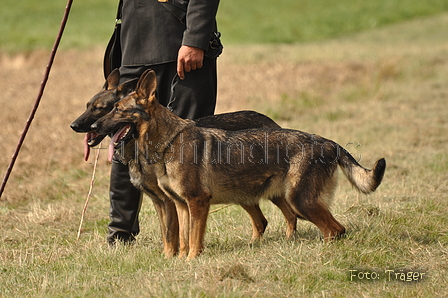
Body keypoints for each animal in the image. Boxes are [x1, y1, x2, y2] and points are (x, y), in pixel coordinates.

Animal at [91, 69, 384, 258]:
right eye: (109, 108)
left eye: (117, 110)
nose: (92, 128)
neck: (169, 142)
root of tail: (329, 142)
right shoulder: (181, 205)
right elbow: (182, 239)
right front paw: (179, 262)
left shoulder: (197, 203)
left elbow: (193, 239)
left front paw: (192, 261)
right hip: (270, 196)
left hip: (301, 200)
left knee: (336, 230)